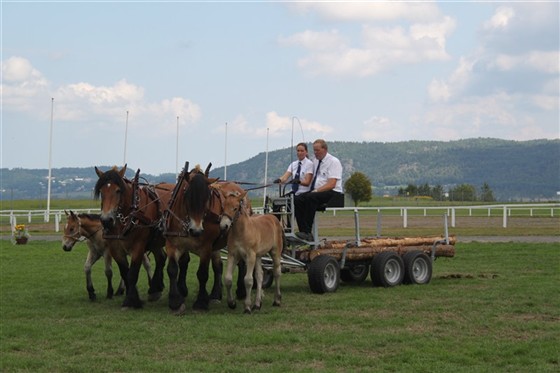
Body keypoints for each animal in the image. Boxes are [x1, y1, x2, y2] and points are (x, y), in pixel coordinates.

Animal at [94, 165, 173, 308]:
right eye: (101, 191)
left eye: (118, 190)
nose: (106, 220)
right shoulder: (115, 249)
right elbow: (125, 273)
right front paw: (133, 297)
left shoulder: (138, 246)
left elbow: (132, 273)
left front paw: (131, 301)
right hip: (155, 241)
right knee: (161, 258)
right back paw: (155, 289)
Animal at [163, 163, 248, 314]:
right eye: (187, 195)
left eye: (208, 197)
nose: (196, 230)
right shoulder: (172, 244)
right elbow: (172, 269)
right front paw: (175, 301)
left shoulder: (206, 248)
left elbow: (202, 274)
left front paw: (201, 302)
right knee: (218, 266)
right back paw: (215, 294)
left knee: (241, 263)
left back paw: (241, 291)